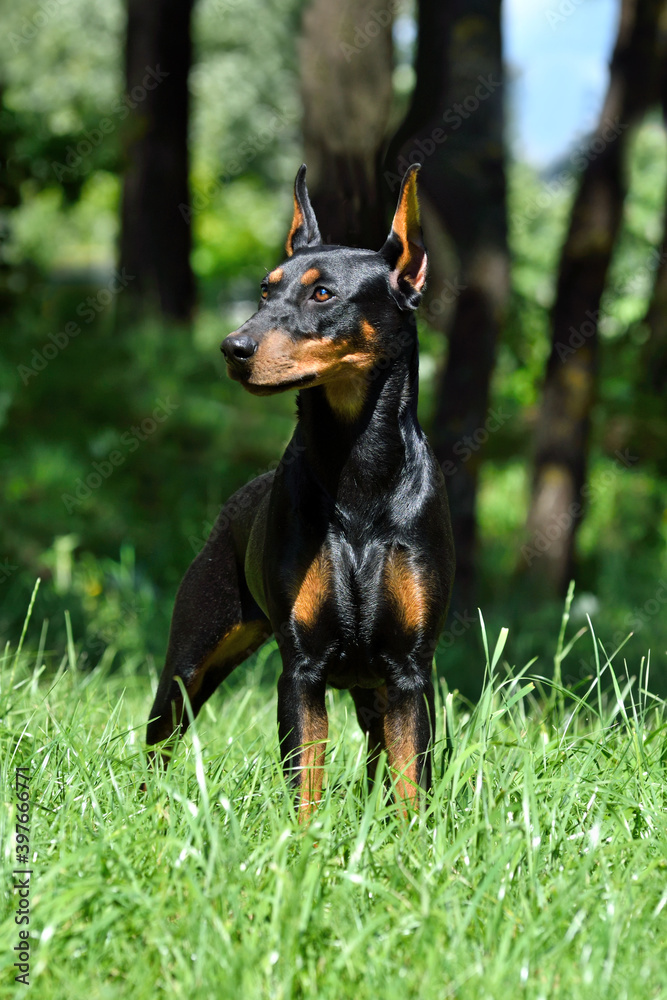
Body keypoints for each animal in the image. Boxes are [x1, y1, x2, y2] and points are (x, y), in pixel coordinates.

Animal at [148, 164, 456, 816]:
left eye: (323, 294)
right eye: (266, 291)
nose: (232, 348)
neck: (357, 472)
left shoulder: (410, 672)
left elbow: (410, 785)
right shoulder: (302, 669)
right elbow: (304, 786)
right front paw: (304, 842)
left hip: (372, 688)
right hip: (194, 657)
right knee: (160, 739)